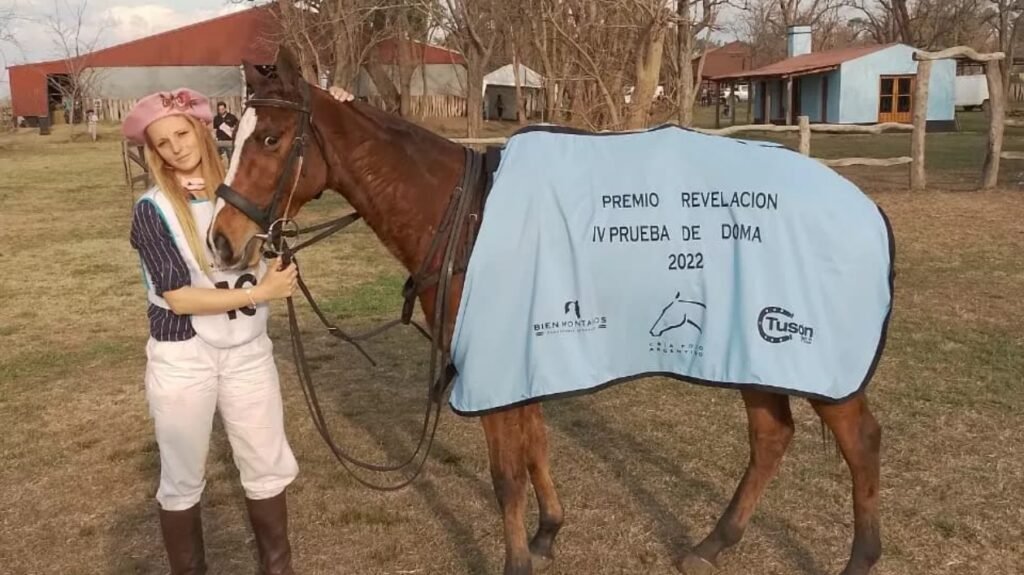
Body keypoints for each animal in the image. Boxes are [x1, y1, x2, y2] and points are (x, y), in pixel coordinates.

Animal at [209, 48, 883, 575]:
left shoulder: (494, 362)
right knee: (771, 437)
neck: (467, 221)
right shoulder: (518, 355)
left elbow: (506, 472)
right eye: (231, 137)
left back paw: (860, 558)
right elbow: (535, 445)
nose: (221, 240)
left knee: (860, 441)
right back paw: (714, 543)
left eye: (270, 139)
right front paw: (547, 532)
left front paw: (515, 559)